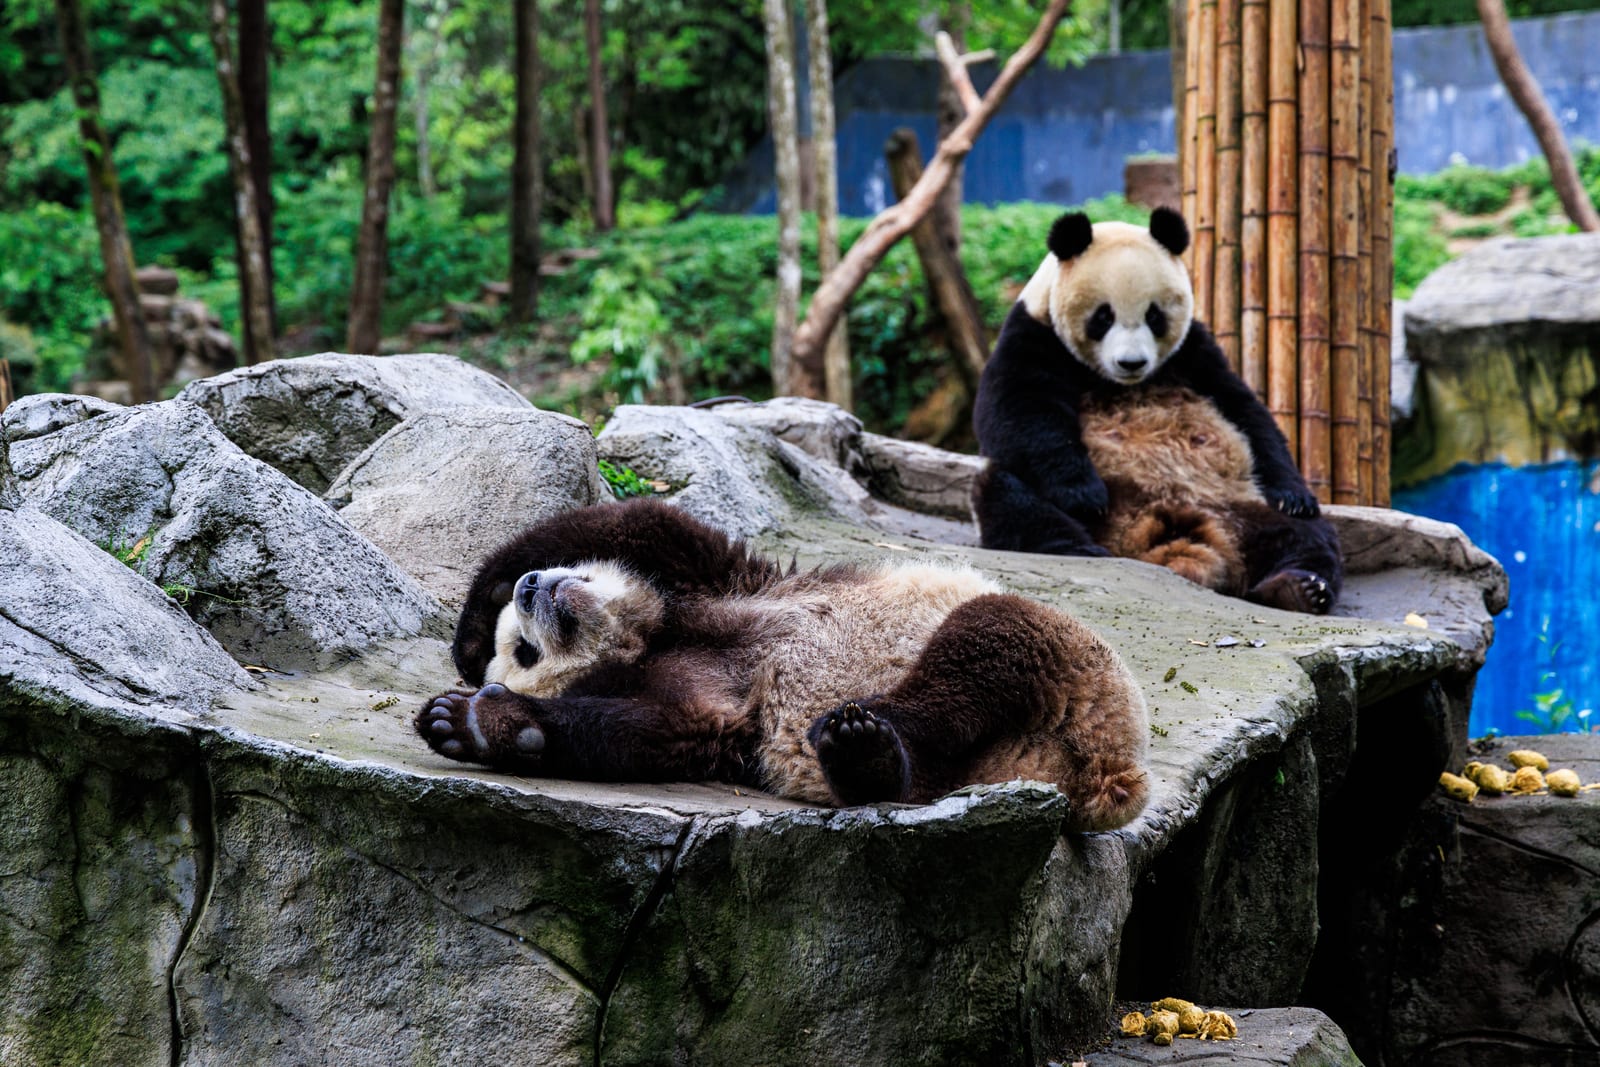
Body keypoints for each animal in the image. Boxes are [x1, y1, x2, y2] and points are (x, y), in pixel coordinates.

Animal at [417, 499, 1150, 832]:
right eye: (529, 652)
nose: (534, 591)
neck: (649, 640)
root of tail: (1104, 773)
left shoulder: (726, 586)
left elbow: (640, 524)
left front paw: (471, 639)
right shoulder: (699, 696)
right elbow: (661, 730)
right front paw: (478, 725)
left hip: (1078, 655)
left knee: (981, 647)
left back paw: (860, 733)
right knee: (936, 757)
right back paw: (867, 757)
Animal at [971, 208, 1342, 615]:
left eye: (1154, 316)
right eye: (1103, 317)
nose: (1131, 362)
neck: (1117, 382)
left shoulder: (1194, 353)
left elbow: (1246, 412)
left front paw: (1293, 495)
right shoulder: (1033, 334)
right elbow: (1018, 412)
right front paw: (1083, 494)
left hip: (1241, 507)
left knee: (1306, 536)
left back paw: (1298, 588)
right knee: (1009, 494)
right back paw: (1079, 548)